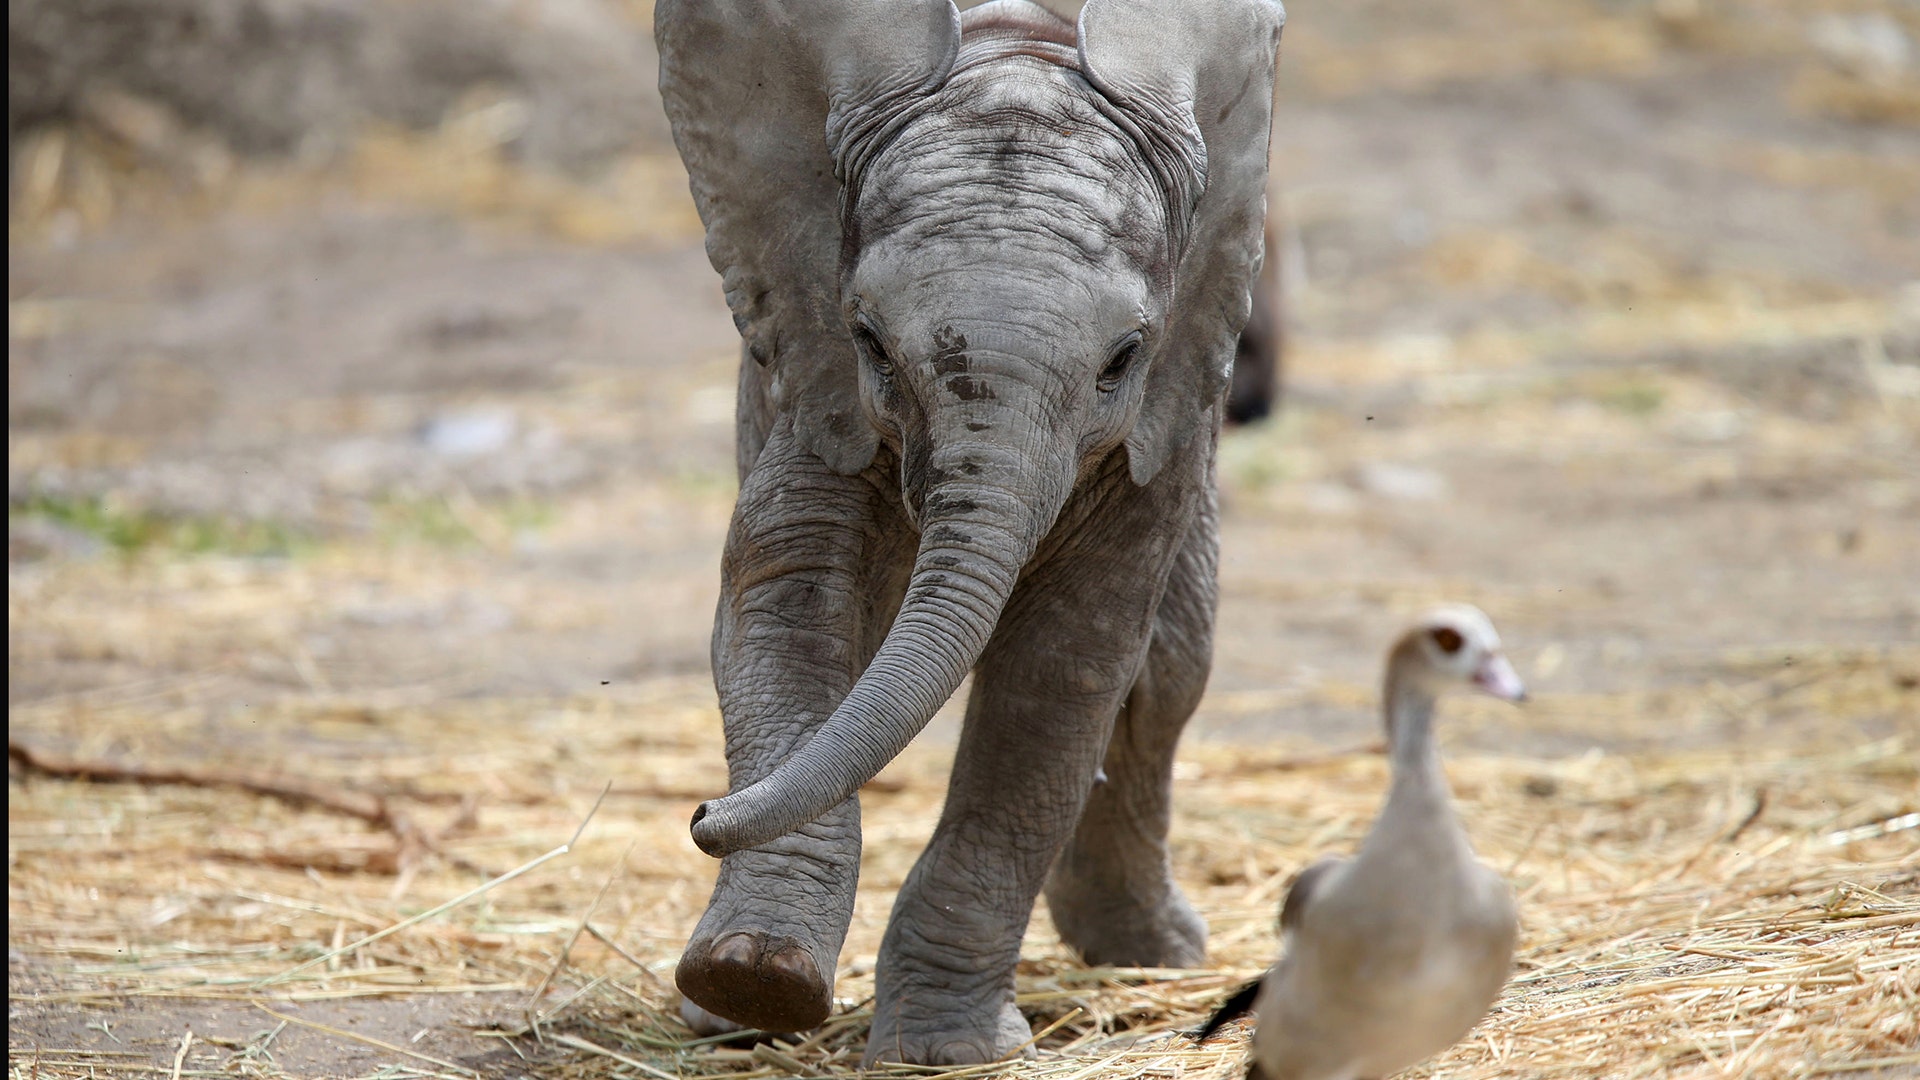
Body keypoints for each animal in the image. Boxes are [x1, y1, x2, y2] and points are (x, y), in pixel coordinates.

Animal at [654, 0, 1284, 1064]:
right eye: (870, 339)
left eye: (1123, 358)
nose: (703, 813)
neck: (1018, 40)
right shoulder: (813, 366)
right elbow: (789, 598)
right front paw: (753, 984)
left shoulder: (1167, 408)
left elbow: (1063, 664)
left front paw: (944, 1054)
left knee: (1170, 672)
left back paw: (1151, 954)